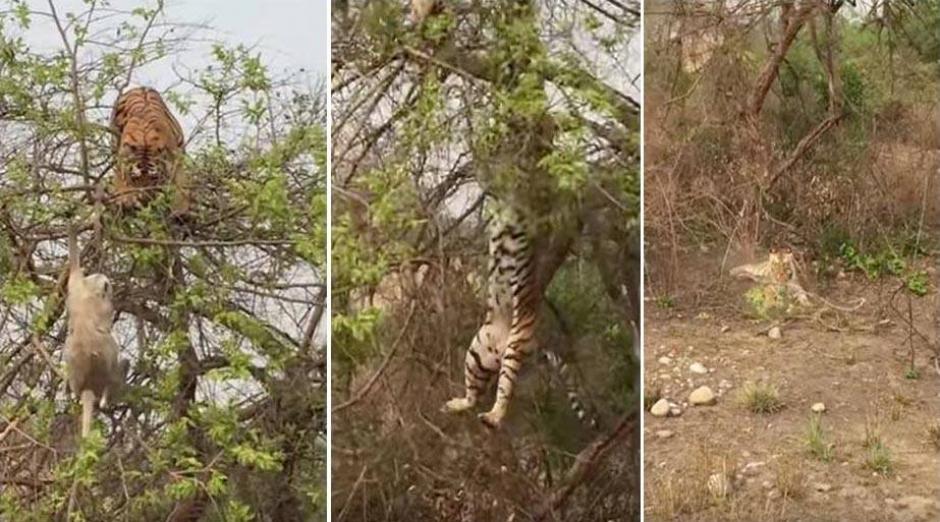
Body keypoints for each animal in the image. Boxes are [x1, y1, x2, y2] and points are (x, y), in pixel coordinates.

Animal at [64, 224, 127, 438]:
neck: (90, 293)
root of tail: (87, 387)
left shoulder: (75, 286)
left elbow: (74, 267)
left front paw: (74, 228)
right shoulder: (105, 305)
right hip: (105, 374)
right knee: (118, 361)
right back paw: (107, 398)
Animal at [110, 86, 190, 216]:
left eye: (154, 178)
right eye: (135, 179)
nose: (145, 202)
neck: (145, 141)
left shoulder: (176, 158)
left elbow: (179, 183)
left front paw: (180, 209)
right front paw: (125, 198)